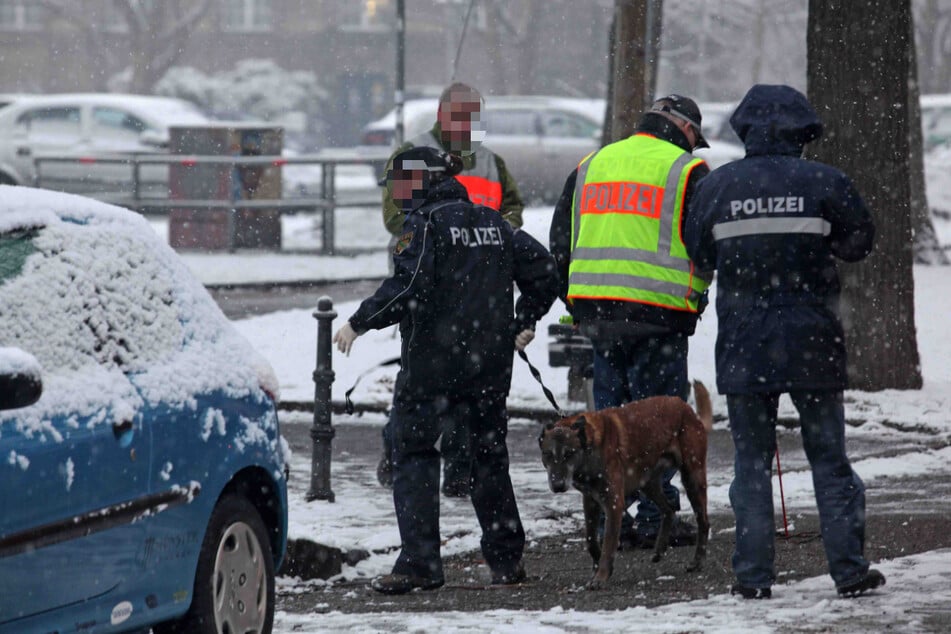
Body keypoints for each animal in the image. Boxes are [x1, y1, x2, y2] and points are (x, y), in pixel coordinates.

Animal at [540, 378, 712, 584]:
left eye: (569, 454)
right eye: (548, 454)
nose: (558, 486)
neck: (589, 444)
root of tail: (687, 408)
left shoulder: (614, 502)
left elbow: (608, 542)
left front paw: (601, 575)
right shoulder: (590, 500)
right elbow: (590, 538)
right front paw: (597, 565)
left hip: (692, 477)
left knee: (703, 522)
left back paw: (698, 561)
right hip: (647, 484)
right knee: (669, 510)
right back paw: (660, 549)